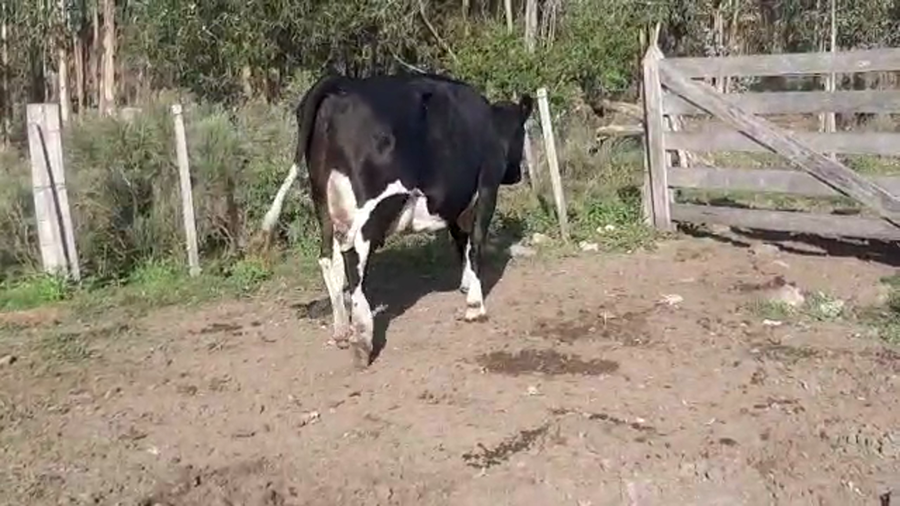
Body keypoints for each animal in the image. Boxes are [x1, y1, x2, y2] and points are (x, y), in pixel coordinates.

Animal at [260, 71, 533, 366]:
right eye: (522, 132)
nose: (517, 174)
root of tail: (339, 84)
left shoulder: (456, 204)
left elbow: (461, 242)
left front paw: (465, 284)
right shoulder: (486, 189)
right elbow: (476, 243)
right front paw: (475, 305)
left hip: (323, 201)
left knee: (328, 257)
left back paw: (342, 330)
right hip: (371, 204)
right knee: (352, 253)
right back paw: (363, 338)